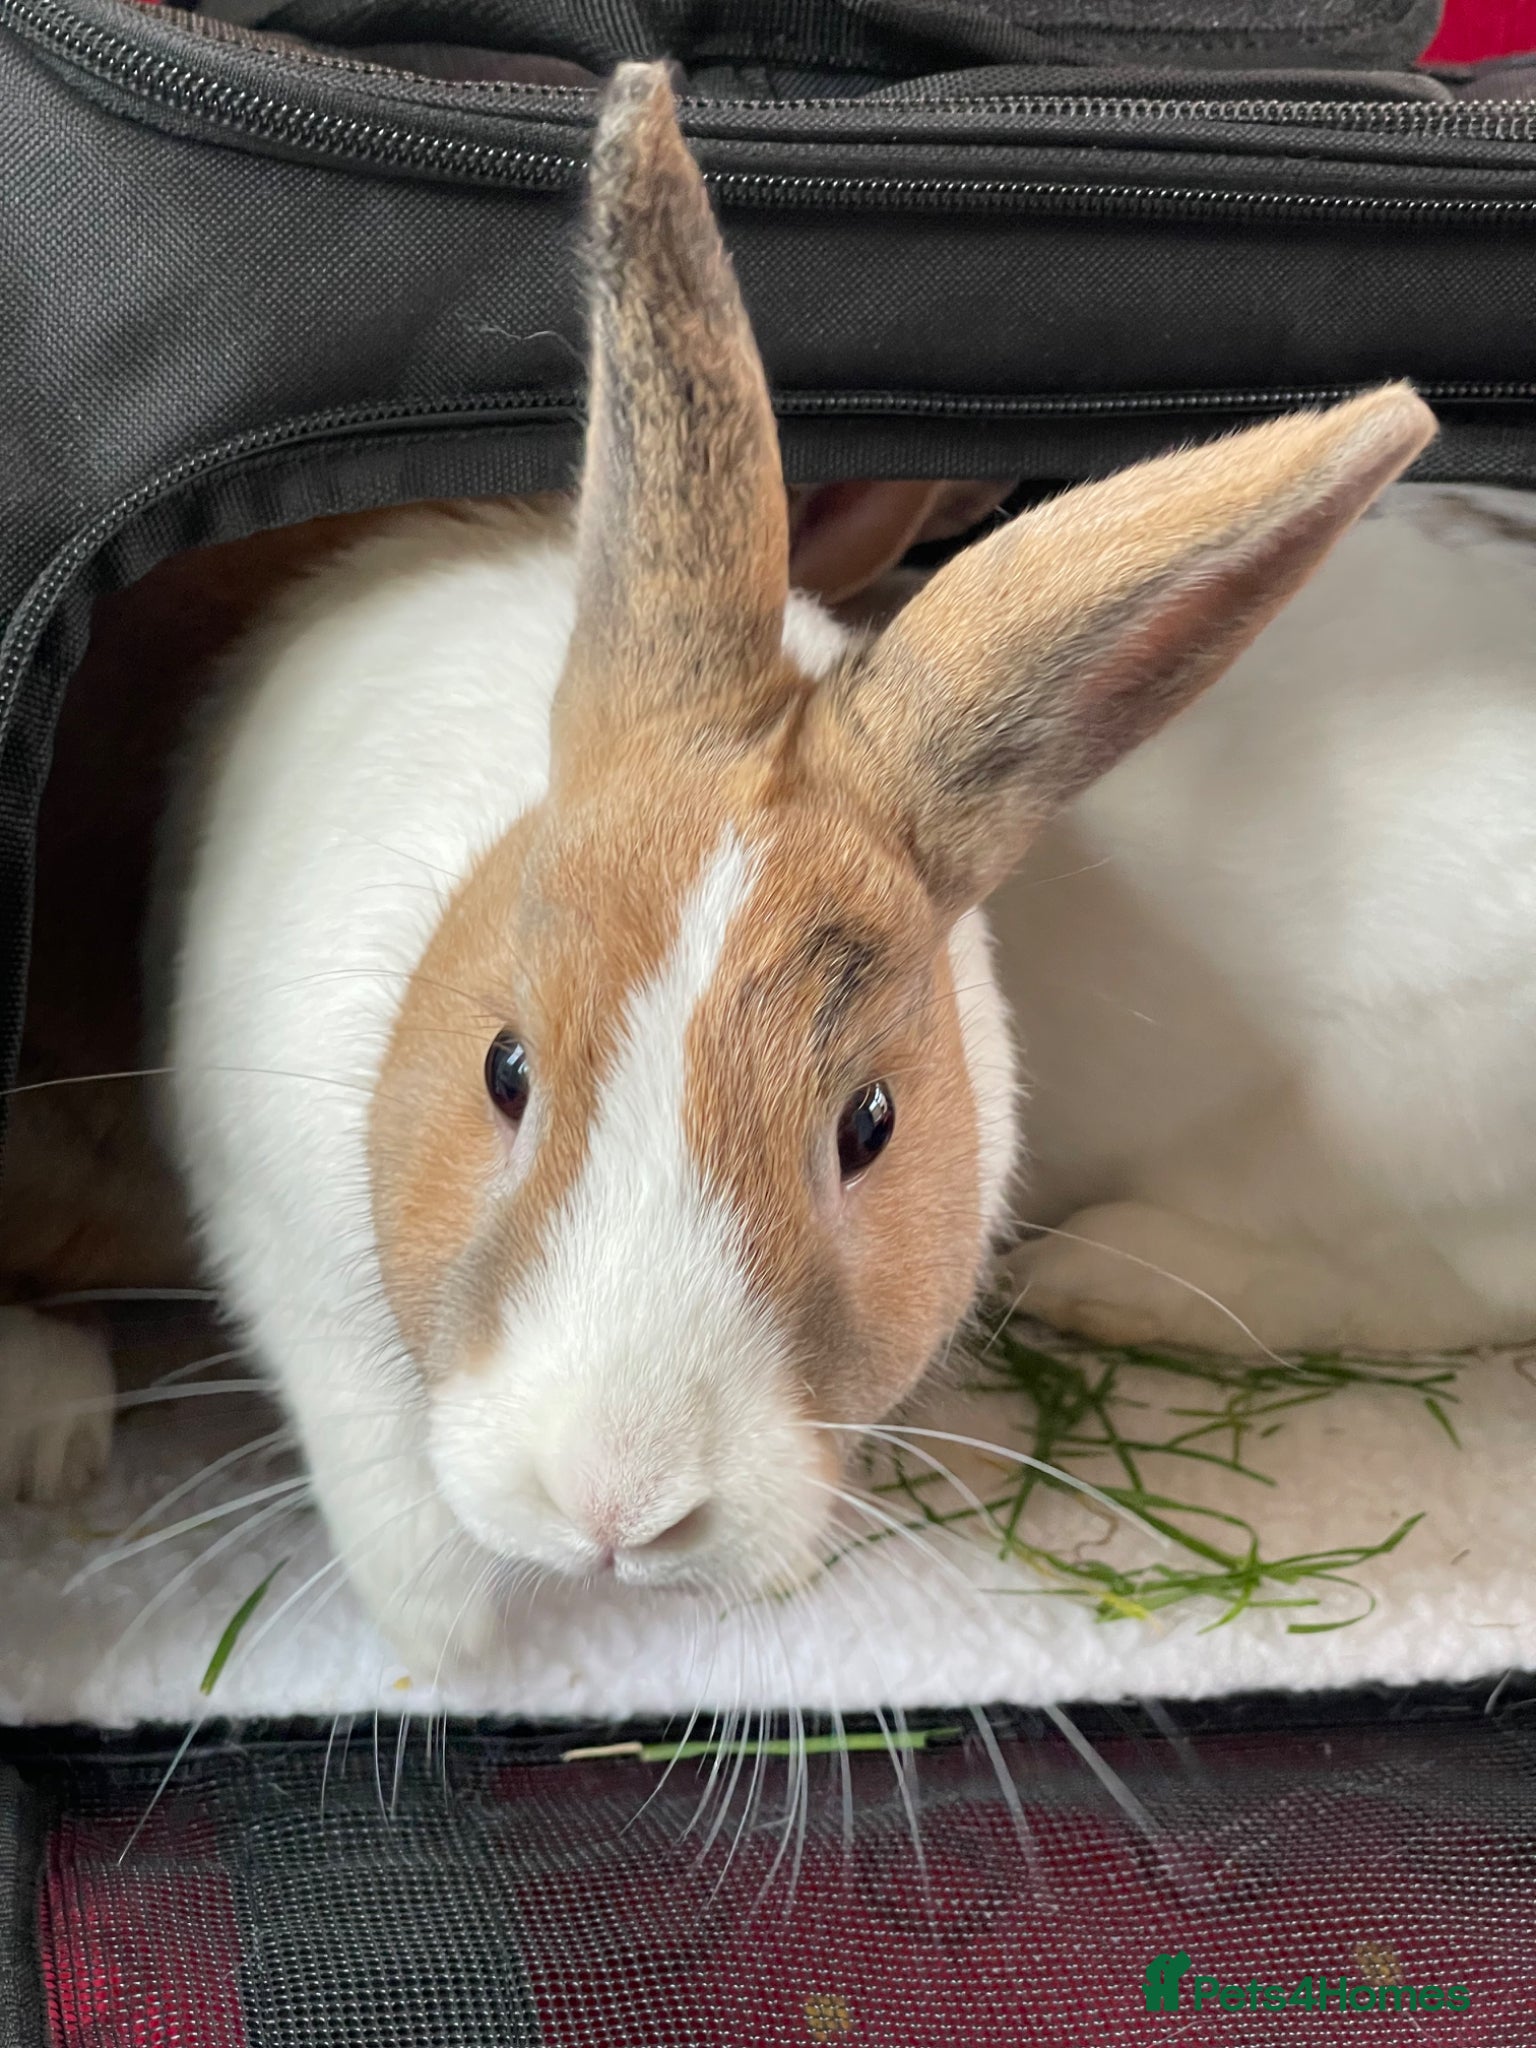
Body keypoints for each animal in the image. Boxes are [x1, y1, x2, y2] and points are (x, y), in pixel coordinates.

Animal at [6, 62, 1431, 1666]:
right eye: (503, 1070)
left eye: (871, 1121)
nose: (618, 1506)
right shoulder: (295, 1264)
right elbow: (397, 1510)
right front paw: (453, 1661)